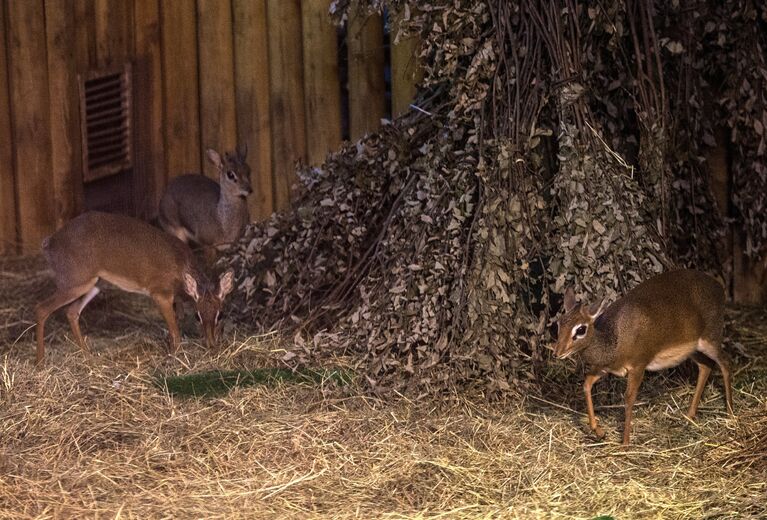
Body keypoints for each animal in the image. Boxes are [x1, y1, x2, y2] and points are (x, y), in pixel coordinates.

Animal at [36, 211, 234, 366]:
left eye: (221, 314)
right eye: (197, 316)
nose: (211, 344)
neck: (181, 267)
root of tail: (49, 243)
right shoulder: (160, 293)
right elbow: (175, 333)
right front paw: (176, 358)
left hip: (93, 285)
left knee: (71, 312)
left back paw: (88, 356)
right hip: (76, 283)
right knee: (41, 308)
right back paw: (40, 362)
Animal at [556, 270, 736, 444]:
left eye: (581, 329)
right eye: (560, 323)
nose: (558, 352)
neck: (615, 339)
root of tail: (719, 287)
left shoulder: (638, 366)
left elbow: (629, 398)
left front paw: (625, 444)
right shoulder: (605, 368)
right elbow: (586, 384)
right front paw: (599, 432)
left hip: (710, 339)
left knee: (726, 362)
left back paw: (730, 414)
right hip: (692, 350)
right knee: (706, 366)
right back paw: (689, 415)